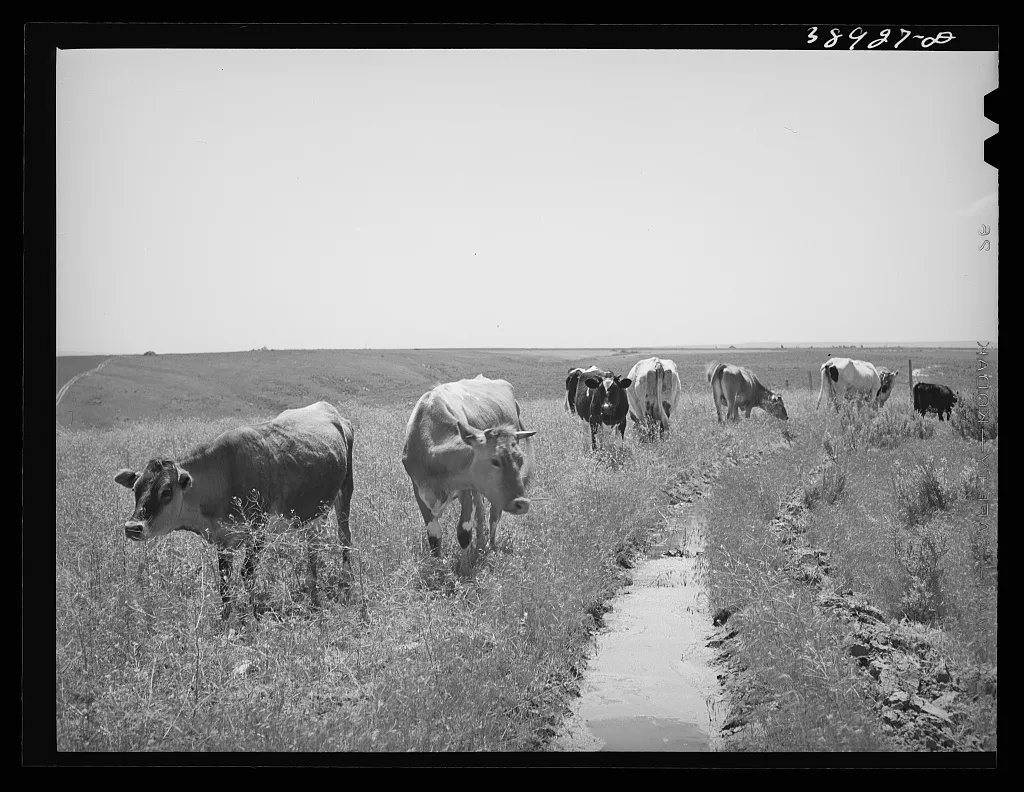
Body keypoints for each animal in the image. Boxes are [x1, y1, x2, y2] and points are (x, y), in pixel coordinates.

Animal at [113, 401, 355, 620]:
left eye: (166, 491)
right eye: (135, 488)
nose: (132, 527)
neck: (225, 476)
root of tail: (330, 409)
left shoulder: (258, 529)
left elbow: (248, 574)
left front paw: (253, 615)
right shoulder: (223, 538)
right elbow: (224, 580)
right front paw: (226, 618)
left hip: (345, 491)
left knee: (344, 536)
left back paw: (346, 582)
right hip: (313, 512)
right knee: (313, 546)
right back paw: (313, 589)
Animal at [402, 375, 536, 557]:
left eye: (521, 460)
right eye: (495, 461)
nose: (523, 503)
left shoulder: (467, 490)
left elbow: (464, 533)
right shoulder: (419, 490)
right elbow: (434, 538)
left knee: (494, 514)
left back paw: (490, 544)